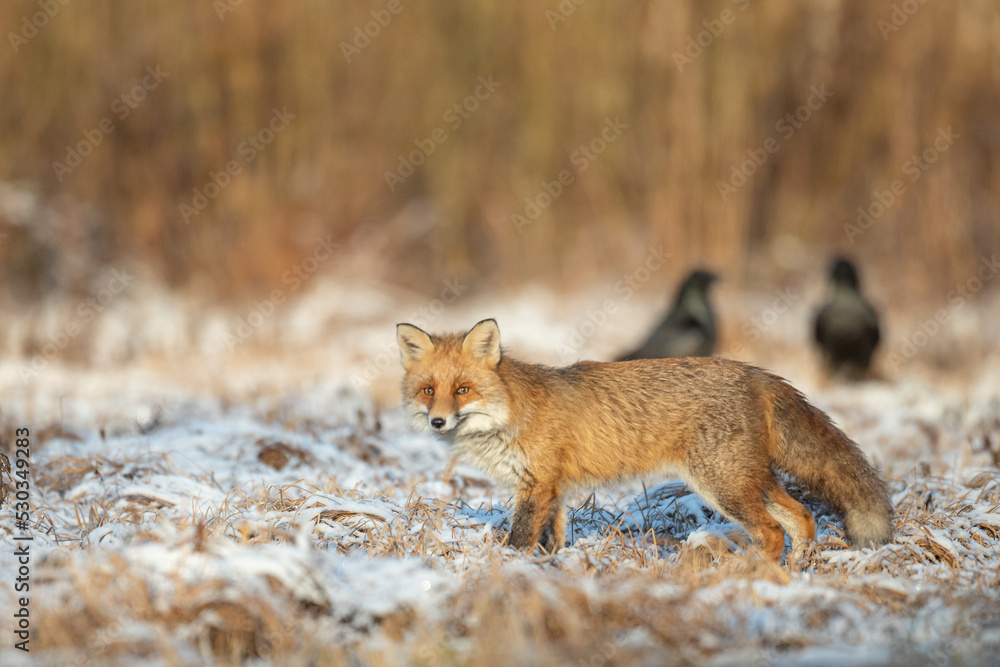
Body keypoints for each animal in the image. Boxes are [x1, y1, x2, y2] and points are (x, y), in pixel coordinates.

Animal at [396, 318, 893, 560]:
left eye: (462, 390)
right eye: (429, 390)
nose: (438, 422)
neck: (511, 414)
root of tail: (752, 371)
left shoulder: (537, 486)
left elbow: (519, 541)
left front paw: (506, 573)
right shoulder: (551, 488)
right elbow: (552, 539)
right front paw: (549, 569)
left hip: (722, 485)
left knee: (772, 532)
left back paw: (750, 575)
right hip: (749, 480)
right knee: (802, 518)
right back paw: (798, 573)